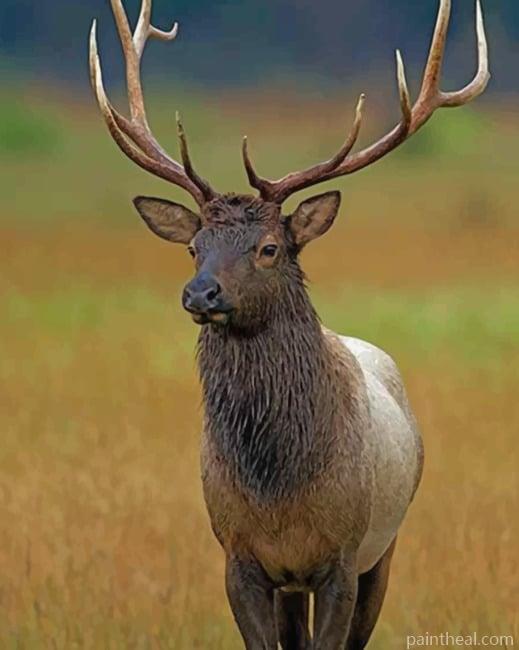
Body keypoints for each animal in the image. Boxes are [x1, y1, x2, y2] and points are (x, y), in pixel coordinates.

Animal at [89, 1, 489, 648]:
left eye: (270, 247)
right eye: (194, 247)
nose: (199, 292)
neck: (280, 493)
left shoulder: (343, 556)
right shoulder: (239, 557)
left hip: (387, 546)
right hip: (295, 583)